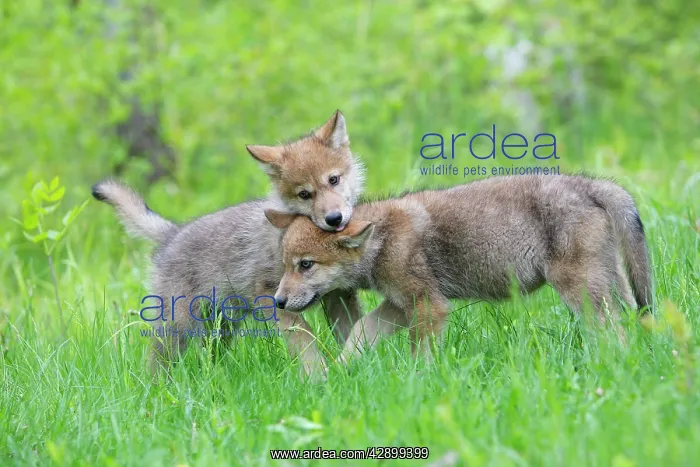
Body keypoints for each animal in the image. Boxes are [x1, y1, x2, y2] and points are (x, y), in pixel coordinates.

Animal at [92, 111, 365, 376]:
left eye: (333, 180)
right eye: (304, 194)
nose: (334, 219)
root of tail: (173, 233)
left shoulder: (340, 296)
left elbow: (355, 330)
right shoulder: (271, 295)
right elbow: (304, 340)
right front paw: (318, 375)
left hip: (221, 324)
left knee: (208, 357)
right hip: (178, 327)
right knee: (156, 364)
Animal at [265, 174, 653, 359]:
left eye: (306, 265)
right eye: (286, 266)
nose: (278, 302)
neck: (382, 241)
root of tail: (591, 184)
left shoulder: (429, 306)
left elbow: (419, 355)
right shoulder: (399, 305)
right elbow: (361, 332)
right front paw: (340, 371)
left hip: (579, 291)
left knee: (612, 332)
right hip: (611, 286)